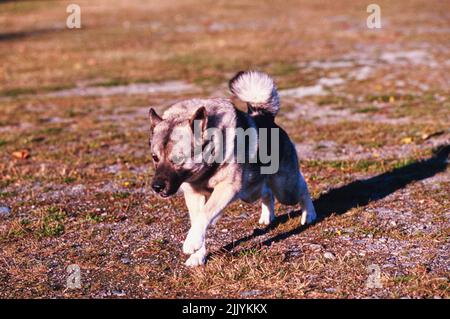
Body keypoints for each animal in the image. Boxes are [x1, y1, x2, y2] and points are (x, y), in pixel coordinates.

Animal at [149, 71, 316, 266]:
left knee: (302, 188)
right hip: (249, 192)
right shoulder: (194, 196)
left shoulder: (227, 189)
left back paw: (309, 215)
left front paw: (191, 242)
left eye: (178, 159)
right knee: (266, 192)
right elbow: (198, 220)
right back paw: (267, 217)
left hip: (285, 190)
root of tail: (265, 117)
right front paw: (198, 254)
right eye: (155, 158)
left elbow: (204, 215)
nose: (156, 187)